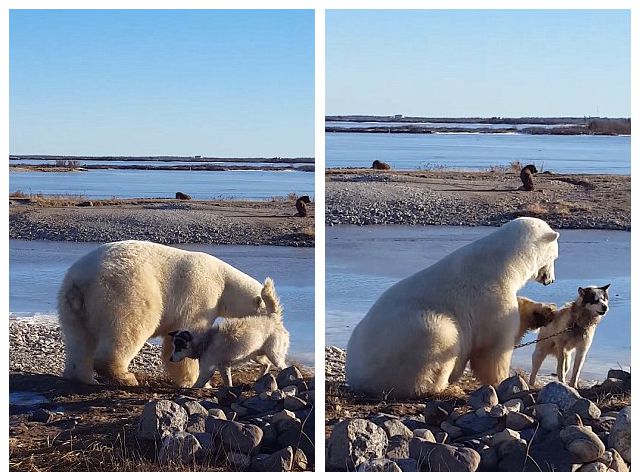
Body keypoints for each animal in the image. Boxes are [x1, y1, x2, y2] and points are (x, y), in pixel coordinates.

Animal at [58, 240, 280, 388]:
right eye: (268, 311)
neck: (224, 281)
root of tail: (81, 281)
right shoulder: (201, 295)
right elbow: (188, 333)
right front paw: (195, 381)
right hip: (125, 292)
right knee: (129, 328)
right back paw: (125, 377)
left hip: (71, 305)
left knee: (78, 339)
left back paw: (81, 376)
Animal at [342, 218, 556, 398]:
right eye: (555, 256)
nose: (551, 280)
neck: (506, 261)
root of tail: (355, 376)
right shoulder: (490, 294)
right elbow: (493, 347)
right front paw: (502, 380)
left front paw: (545, 312)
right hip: (409, 339)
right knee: (442, 336)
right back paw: (446, 387)